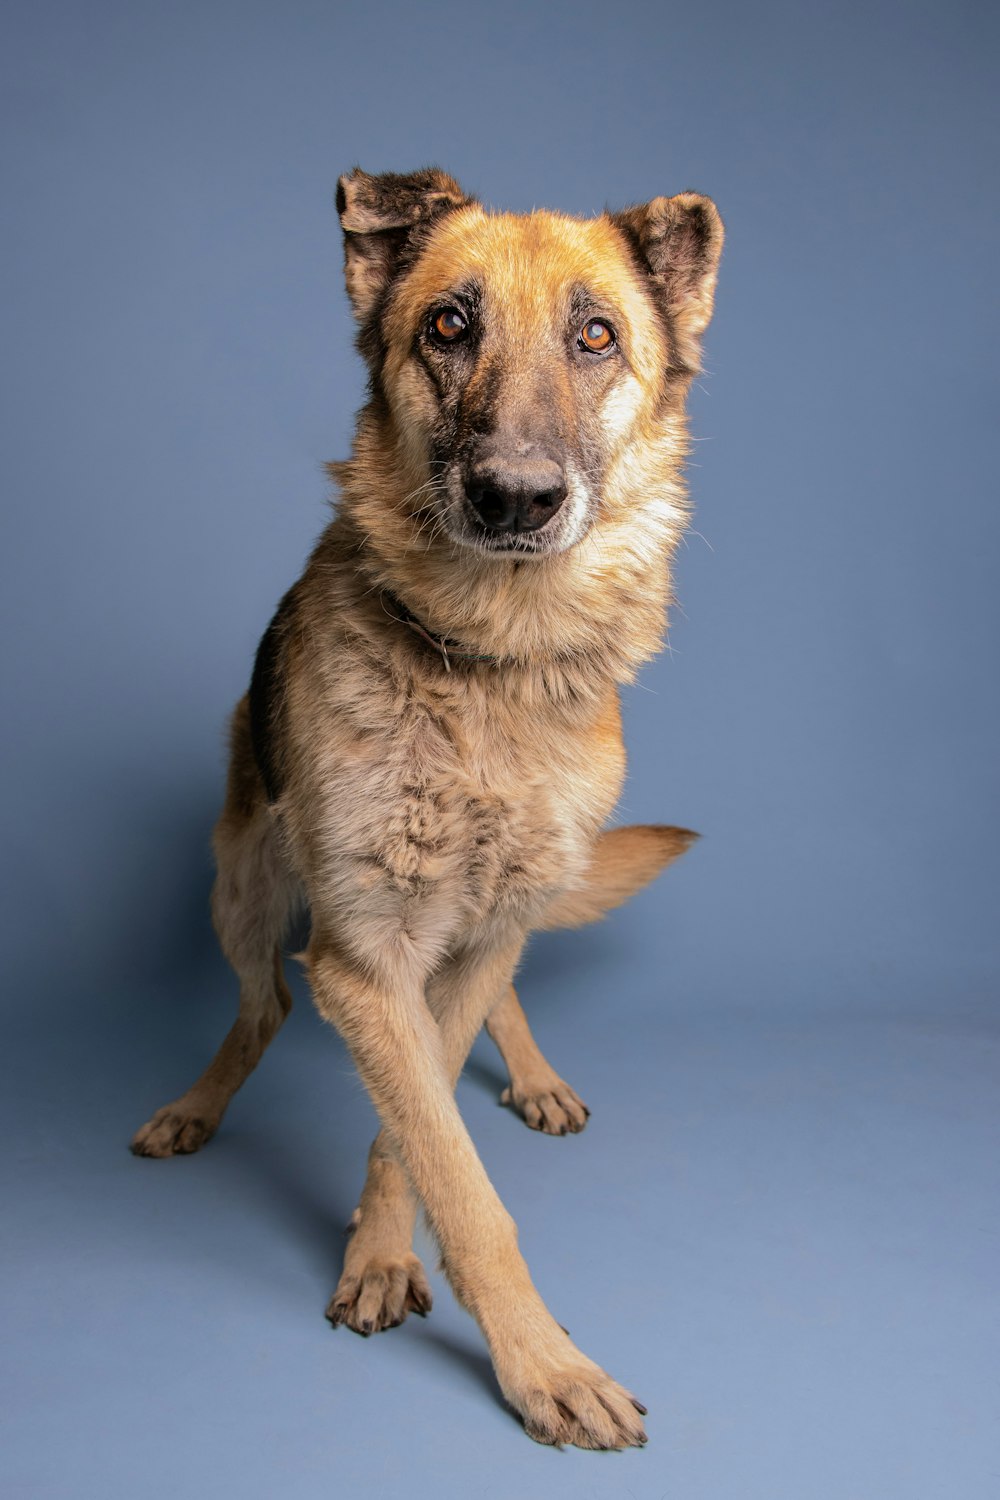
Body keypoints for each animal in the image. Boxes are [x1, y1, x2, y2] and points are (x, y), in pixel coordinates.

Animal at [132, 167, 722, 1452]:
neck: (493, 663)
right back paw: (197, 1105)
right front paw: (541, 1362)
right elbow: (453, 1168)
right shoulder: (366, 962)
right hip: (242, 887)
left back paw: (532, 1073)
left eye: (594, 336)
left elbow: (418, 1126)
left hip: (508, 907)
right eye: (448, 326)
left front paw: (382, 1252)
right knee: (262, 1007)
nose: (515, 499)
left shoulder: (466, 939)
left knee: (500, 989)